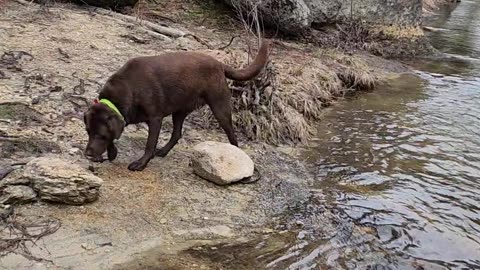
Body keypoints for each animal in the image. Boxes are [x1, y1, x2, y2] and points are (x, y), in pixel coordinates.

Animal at [82, 39, 270, 171]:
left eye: (100, 135)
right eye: (89, 132)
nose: (88, 154)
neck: (129, 88)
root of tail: (218, 63)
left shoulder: (155, 119)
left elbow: (149, 144)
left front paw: (141, 163)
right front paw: (111, 153)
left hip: (219, 107)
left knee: (232, 134)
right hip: (179, 110)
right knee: (177, 133)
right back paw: (164, 151)